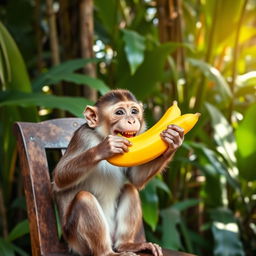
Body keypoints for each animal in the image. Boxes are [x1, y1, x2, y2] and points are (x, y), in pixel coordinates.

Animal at [52, 89, 184, 256]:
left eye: (134, 111)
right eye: (119, 112)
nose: (132, 120)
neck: (100, 136)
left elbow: (136, 179)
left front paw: (173, 140)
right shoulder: (82, 137)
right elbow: (59, 176)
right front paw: (104, 148)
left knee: (130, 189)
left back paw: (126, 245)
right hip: (77, 242)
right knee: (84, 198)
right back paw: (106, 252)